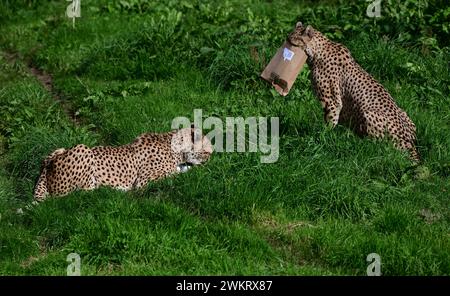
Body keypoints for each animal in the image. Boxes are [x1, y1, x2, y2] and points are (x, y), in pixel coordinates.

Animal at [33, 125, 213, 201]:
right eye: (206, 152)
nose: (210, 159)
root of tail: (45, 170)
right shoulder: (144, 182)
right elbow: (175, 175)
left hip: (58, 150)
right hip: (82, 149)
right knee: (80, 193)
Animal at [288, 22, 418, 162]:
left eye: (295, 37)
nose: (287, 39)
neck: (318, 50)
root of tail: (410, 143)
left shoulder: (332, 101)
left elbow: (330, 121)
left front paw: (323, 137)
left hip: (368, 114)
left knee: (379, 147)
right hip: (405, 114)